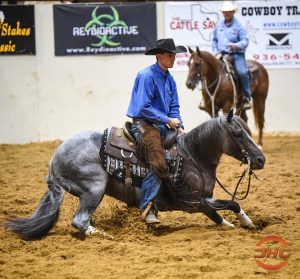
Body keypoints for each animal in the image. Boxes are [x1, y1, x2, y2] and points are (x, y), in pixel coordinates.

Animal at [7, 112, 264, 240]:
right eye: (238, 133)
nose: (261, 159)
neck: (192, 155)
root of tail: (55, 158)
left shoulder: (204, 200)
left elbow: (220, 212)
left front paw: (236, 225)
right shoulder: (193, 202)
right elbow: (228, 204)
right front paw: (247, 223)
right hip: (94, 188)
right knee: (80, 220)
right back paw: (103, 235)